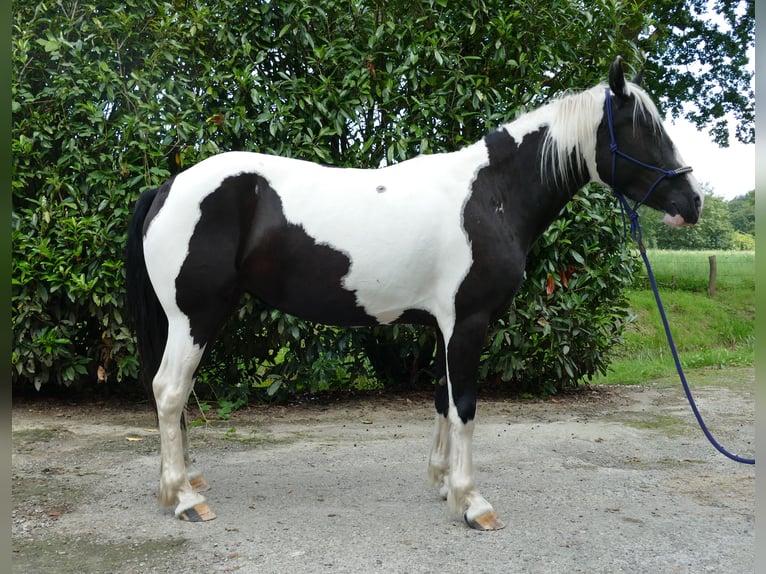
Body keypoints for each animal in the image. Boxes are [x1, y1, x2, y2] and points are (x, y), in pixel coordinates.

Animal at [127, 58, 708, 532]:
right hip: (195, 317)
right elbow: (466, 405)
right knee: (169, 391)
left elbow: (443, 398)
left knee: (176, 396)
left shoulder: (444, 326)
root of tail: (168, 186)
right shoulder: (469, 322)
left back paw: (185, 482)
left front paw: (444, 483)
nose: (693, 202)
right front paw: (473, 503)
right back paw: (184, 500)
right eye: (642, 130)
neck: (491, 196)